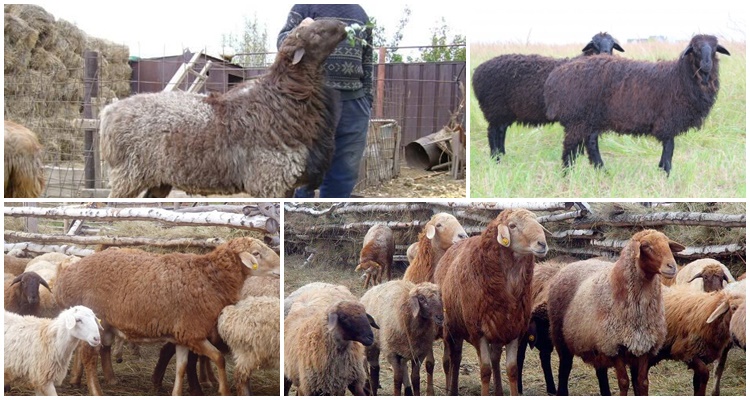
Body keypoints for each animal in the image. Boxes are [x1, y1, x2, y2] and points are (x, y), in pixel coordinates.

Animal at [53, 236, 282, 396]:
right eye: (256, 253)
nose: (280, 268)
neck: (209, 279)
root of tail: (66, 277)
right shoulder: (193, 333)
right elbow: (218, 358)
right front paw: (224, 391)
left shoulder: (182, 335)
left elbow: (181, 367)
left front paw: (177, 392)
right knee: (88, 357)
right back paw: (96, 391)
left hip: (103, 325)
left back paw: (94, 380)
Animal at [100, 19, 346, 198]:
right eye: (315, 33)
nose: (343, 25)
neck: (285, 96)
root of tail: (110, 111)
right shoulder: (269, 179)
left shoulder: (284, 183)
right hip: (127, 175)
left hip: (158, 180)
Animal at [472, 32, 624, 158]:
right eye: (594, 44)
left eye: (612, 45)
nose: (605, 54)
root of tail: (477, 71)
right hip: (495, 108)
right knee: (493, 133)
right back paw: (496, 158)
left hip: (504, 111)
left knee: (500, 132)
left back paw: (502, 155)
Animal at [548, 35, 732, 176]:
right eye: (695, 49)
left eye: (714, 48)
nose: (706, 65)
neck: (679, 76)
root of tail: (561, 73)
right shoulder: (668, 121)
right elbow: (669, 150)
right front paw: (666, 174)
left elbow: (667, 150)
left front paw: (662, 171)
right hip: (579, 118)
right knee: (570, 148)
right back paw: (568, 174)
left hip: (588, 119)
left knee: (587, 145)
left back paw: (599, 171)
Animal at [548, 230, 688, 396]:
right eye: (646, 246)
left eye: (668, 245)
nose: (672, 266)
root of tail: (570, 264)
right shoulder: (614, 346)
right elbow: (623, 382)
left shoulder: (645, 346)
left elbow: (642, 382)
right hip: (560, 335)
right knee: (565, 367)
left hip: (597, 344)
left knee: (600, 371)